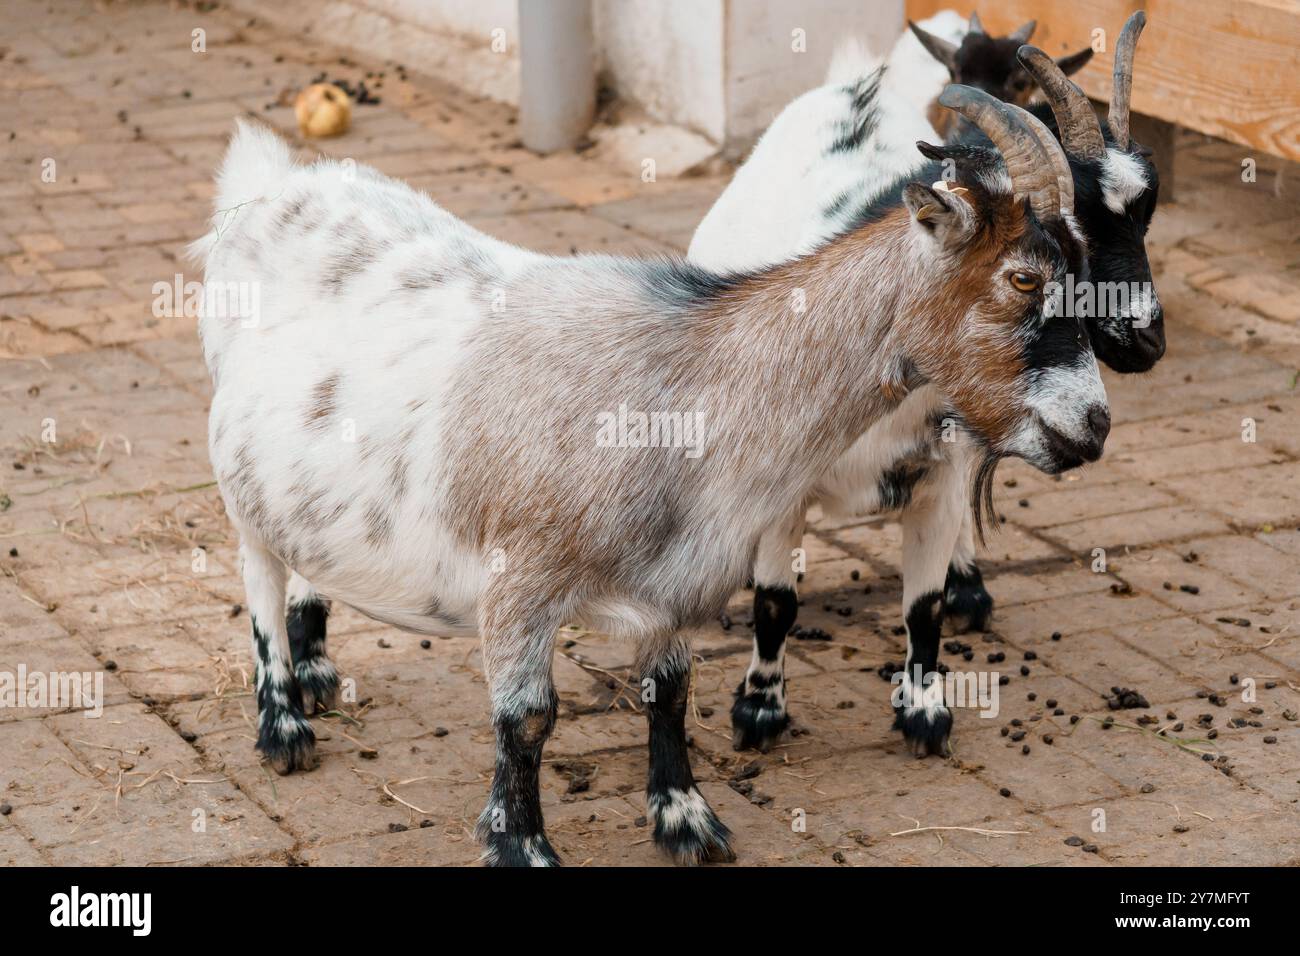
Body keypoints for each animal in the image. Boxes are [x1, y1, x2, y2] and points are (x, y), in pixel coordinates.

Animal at [194, 88, 1103, 866]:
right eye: (1024, 277)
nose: (1093, 424)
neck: (684, 385)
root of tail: (270, 187)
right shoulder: (518, 580)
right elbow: (528, 719)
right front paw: (521, 843)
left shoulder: (675, 581)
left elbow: (668, 691)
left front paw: (686, 820)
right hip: (236, 473)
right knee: (257, 576)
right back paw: (282, 721)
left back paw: (315, 671)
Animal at [689, 13, 1161, 756]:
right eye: (1025, 276)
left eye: (1147, 213)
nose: (1145, 341)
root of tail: (852, 87)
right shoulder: (784, 489)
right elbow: (775, 604)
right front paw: (759, 712)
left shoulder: (938, 472)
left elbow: (924, 607)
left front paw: (925, 713)